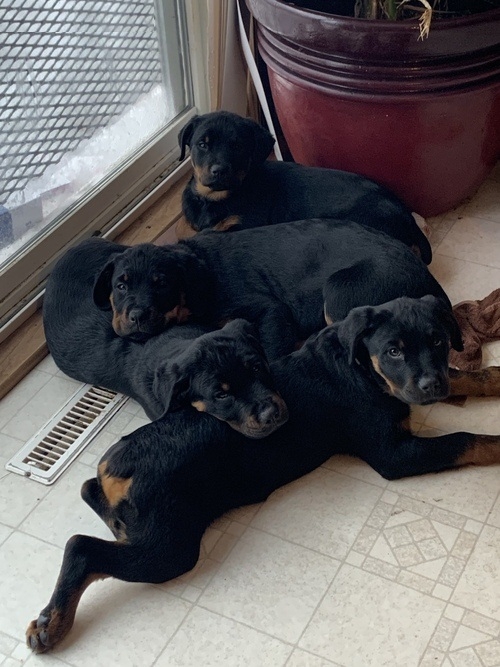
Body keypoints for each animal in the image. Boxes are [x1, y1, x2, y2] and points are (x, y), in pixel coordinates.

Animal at [25, 296, 500, 652]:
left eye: (439, 340)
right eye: (394, 351)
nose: (430, 386)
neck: (362, 369)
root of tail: (119, 466)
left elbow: (462, 377)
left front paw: (488, 378)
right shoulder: (394, 454)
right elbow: (464, 438)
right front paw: (497, 439)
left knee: (88, 492)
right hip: (169, 547)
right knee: (82, 547)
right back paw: (51, 624)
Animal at [177, 110, 430, 264]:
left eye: (237, 146)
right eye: (202, 144)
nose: (219, 170)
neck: (216, 198)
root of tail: (408, 218)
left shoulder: (248, 224)